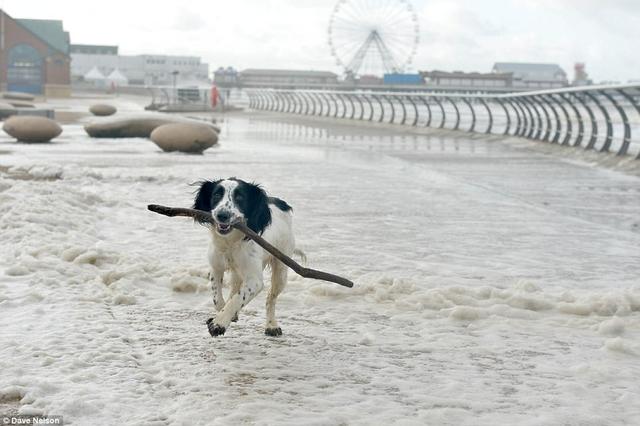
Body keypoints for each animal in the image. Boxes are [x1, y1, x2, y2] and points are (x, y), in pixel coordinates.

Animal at [192, 176, 296, 336]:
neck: (230, 242)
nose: (222, 215)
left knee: (270, 298)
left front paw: (219, 323)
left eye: (240, 197)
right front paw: (222, 314)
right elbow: (217, 298)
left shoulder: (255, 280)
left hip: (281, 269)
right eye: (216, 195)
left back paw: (271, 325)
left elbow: (238, 299)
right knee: (235, 287)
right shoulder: (215, 267)